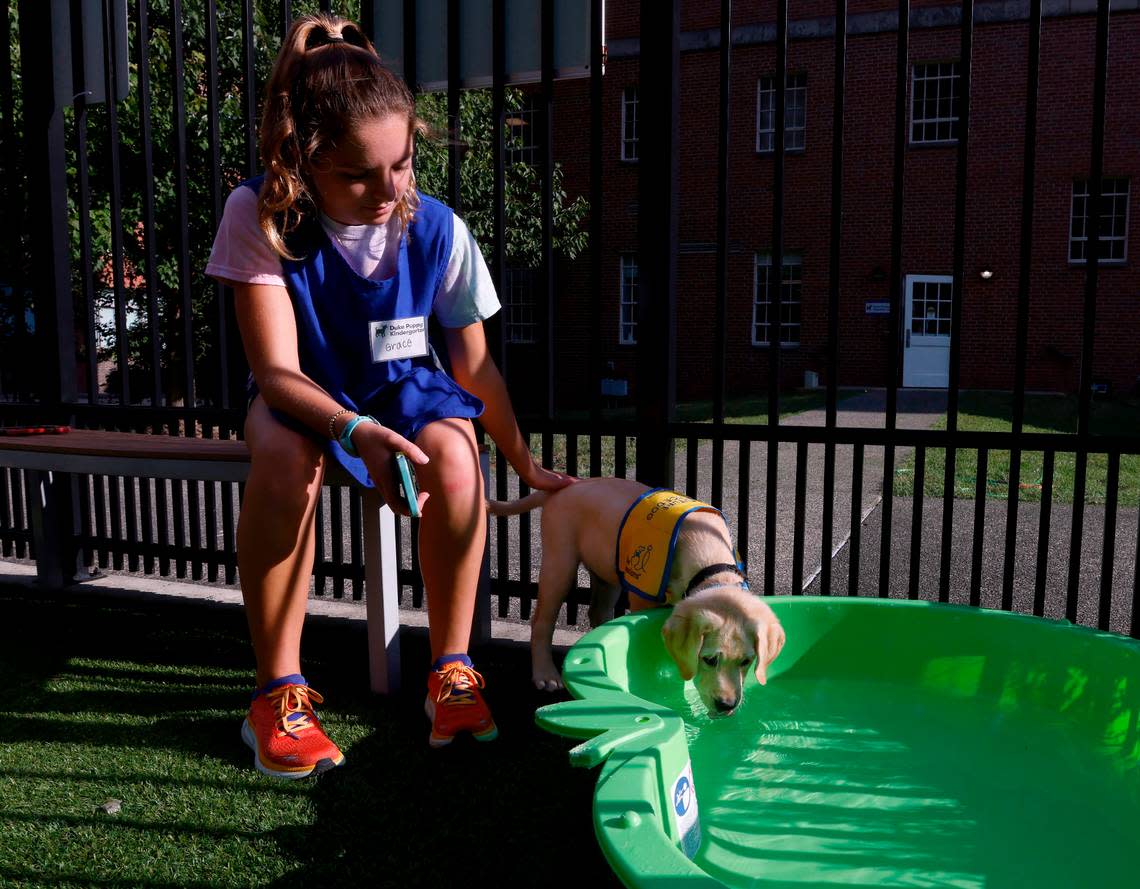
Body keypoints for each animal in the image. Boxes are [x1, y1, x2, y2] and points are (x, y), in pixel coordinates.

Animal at [481, 476, 784, 720]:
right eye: (709, 660)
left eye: (746, 662)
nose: (727, 706)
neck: (709, 561)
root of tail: (568, 486)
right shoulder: (643, 598)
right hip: (560, 561)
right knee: (542, 621)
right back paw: (545, 674)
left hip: (608, 572)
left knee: (597, 612)